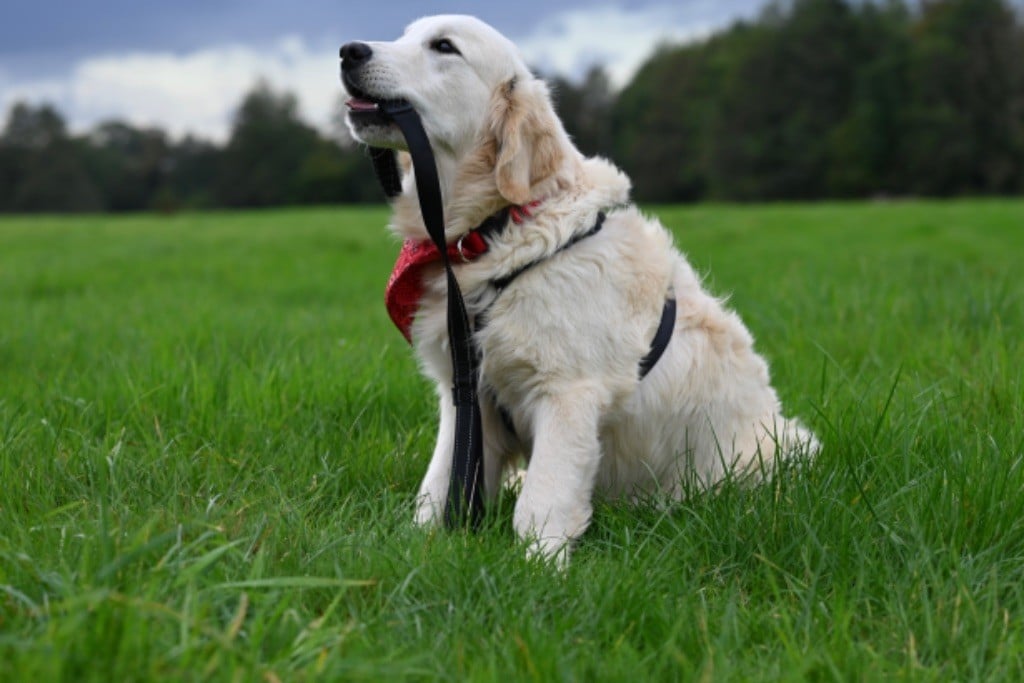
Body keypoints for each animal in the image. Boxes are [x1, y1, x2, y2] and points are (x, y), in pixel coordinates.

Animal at [339, 14, 819, 561]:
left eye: (444, 46)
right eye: (403, 34)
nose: (349, 51)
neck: (498, 227)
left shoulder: (568, 393)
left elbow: (540, 501)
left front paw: (539, 566)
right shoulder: (465, 398)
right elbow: (439, 487)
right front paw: (416, 550)